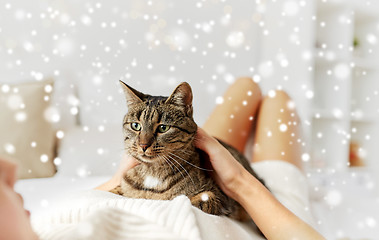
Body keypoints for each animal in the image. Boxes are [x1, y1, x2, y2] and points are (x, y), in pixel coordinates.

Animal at [110, 81, 264, 220]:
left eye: (163, 128)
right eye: (136, 126)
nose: (143, 145)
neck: (152, 173)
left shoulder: (220, 198)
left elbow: (198, 200)